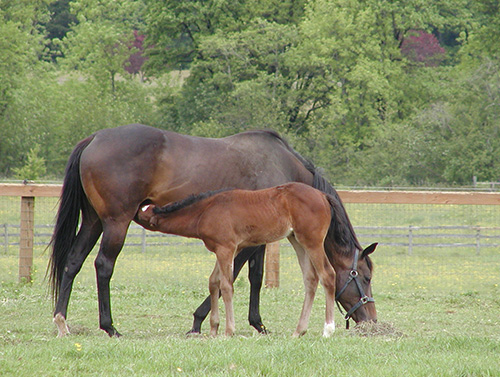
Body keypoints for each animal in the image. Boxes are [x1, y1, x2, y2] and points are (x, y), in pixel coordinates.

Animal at [137, 182, 376, 334]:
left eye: (366, 278)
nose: (131, 214)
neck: (207, 210)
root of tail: (323, 196)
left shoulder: (226, 248)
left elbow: (226, 286)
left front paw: (228, 330)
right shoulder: (225, 250)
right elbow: (213, 282)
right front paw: (213, 329)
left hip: (312, 242)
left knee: (327, 275)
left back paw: (327, 329)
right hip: (297, 241)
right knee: (311, 279)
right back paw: (299, 331)